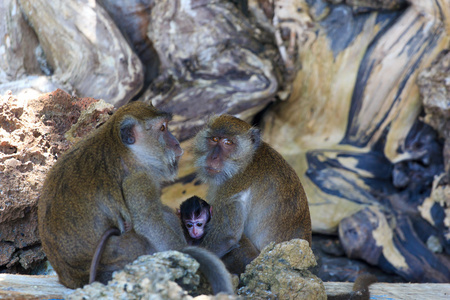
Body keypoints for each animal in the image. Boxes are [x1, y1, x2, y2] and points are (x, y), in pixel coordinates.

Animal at [37, 101, 232, 292]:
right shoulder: (137, 180)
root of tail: (71, 280)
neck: (123, 149)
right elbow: (149, 224)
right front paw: (183, 252)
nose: (177, 144)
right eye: (162, 128)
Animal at [192, 113, 312, 272]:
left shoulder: (232, 185)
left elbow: (225, 236)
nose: (213, 157)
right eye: (215, 139)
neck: (246, 159)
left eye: (228, 142)